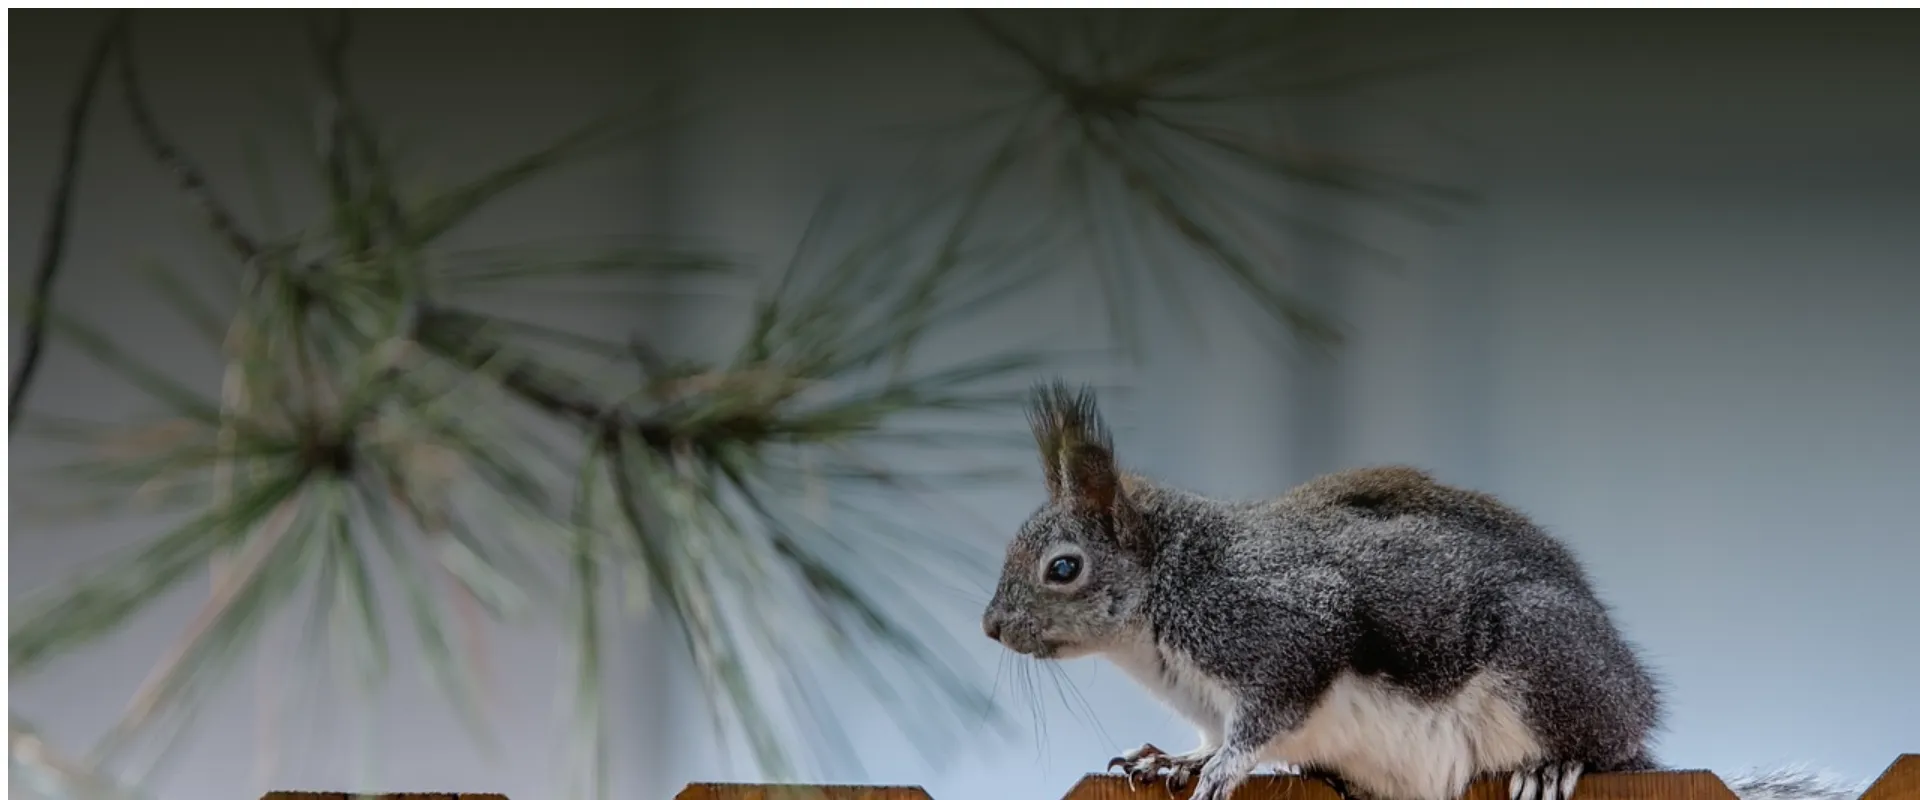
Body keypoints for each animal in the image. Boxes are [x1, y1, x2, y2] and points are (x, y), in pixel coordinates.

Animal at [983, 377, 1866, 798]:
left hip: (1546, 664)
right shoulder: (1208, 694)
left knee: (1604, 747)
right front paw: (1173, 758)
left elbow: (1268, 713)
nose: (991, 627)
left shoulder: (1278, 625)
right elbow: (1211, 734)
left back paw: (1558, 766)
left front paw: (1226, 770)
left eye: (1063, 567)